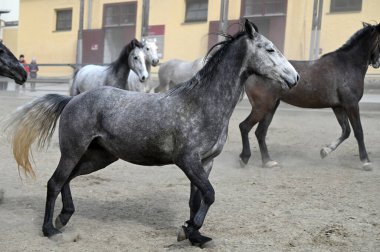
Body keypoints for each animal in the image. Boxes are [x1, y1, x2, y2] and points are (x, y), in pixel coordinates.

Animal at [4, 19, 298, 246]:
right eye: (270, 48)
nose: (294, 78)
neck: (202, 103)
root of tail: (72, 100)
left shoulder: (205, 163)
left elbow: (197, 200)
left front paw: (194, 235)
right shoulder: (187, 161)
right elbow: (210, 194)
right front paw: (188, 231)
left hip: (98, 157)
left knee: (67, 179)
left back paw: (64, 217)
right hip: (74, 150)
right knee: (54, 182)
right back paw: (51, 230)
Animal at [240, 22, 380, 170]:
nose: (377, 62)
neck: (347, 64)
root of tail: (252, 72)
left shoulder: (338, 107)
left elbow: (346, 131)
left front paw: (325, 151)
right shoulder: (351, 104)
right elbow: (358, 131)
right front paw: (366, 161)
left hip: (271, 107)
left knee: (260, 132)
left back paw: (268, 161)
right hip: (262, 106)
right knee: (245, 127)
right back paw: (244, 158)